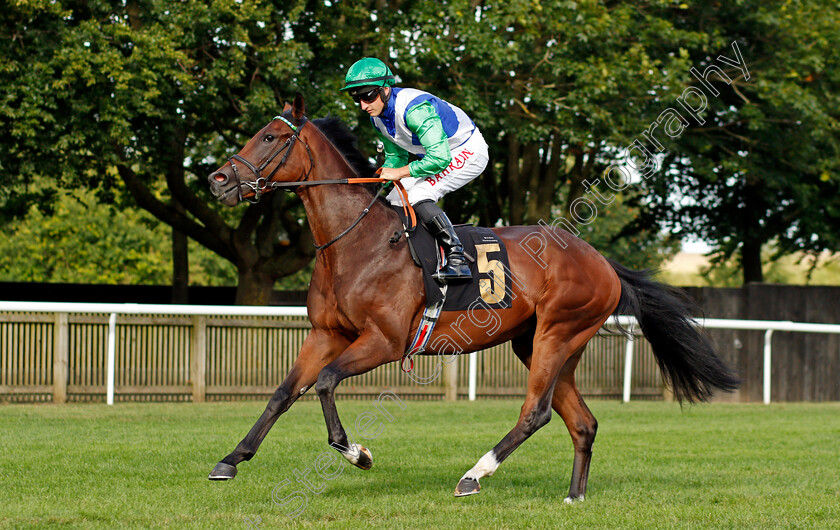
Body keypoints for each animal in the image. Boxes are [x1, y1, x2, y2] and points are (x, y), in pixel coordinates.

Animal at [207, 95, 740, 500]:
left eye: (270, 138)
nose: (218, 180)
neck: (356, 242)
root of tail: (603, 263)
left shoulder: (385, 341)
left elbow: (325, 383)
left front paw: (358, 453)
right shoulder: (325, 333)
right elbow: (284, 393)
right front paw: (230, 460)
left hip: (557, 332)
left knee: (536, 412)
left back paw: (474, 474)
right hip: (542, 343)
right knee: (582, 422)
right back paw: (574, 495)